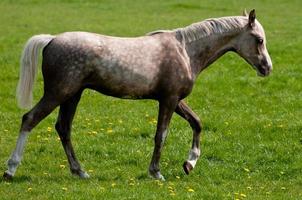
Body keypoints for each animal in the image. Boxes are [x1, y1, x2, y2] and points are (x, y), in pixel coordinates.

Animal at [2, 9, 272, 181]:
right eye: (258, 39)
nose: (267, 68)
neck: (185, 50)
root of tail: (51, 40)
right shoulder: (168, 100)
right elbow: (161, 135)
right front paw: (156, 173)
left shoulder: (175, 100)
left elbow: (197, 123)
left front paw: (189, 164)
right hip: (59, 93)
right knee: (29, 119)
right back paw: (11, 170)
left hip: (72, 95)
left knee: (63, 128)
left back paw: (80, 172)